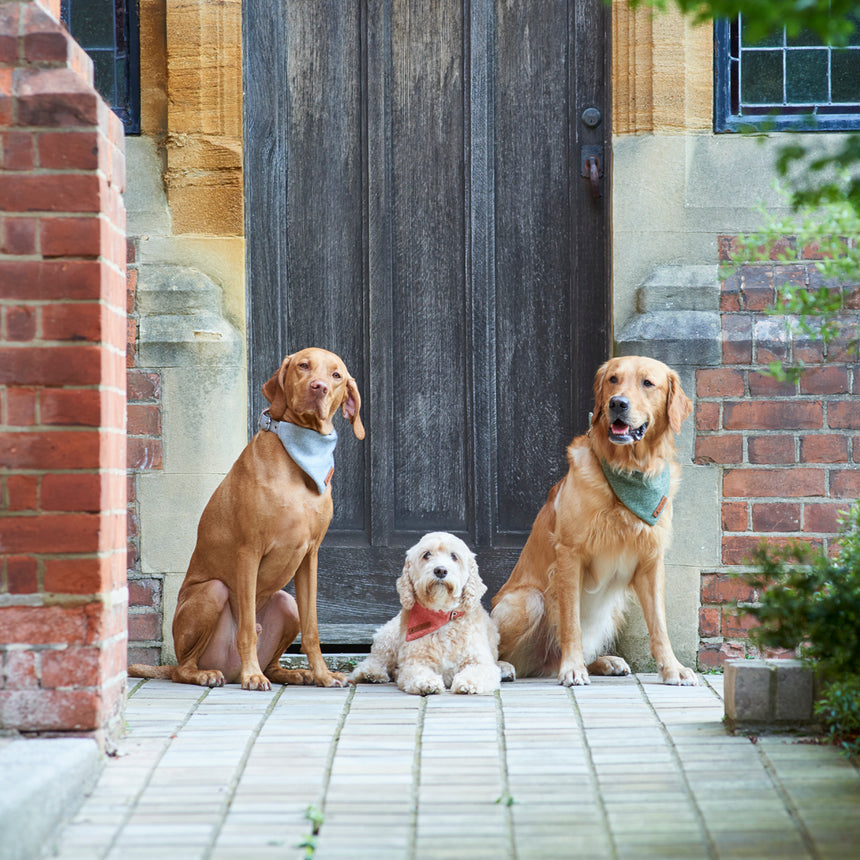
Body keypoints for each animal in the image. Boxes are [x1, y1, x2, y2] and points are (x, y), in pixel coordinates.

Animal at [129, 346, 364, 688]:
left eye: (336, 375)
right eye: (303, 366)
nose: (318, 387)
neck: (300, 456)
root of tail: (228, 669)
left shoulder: (310, 557)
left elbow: (312, 629)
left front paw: (322, 674)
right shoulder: (249, 552)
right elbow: (247, 629)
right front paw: (252, 675)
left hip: (287, 603)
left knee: (275, 660)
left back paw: (295, 673)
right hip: (211, 593)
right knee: (183, 667)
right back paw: (210, 674)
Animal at [352, 536, 510, 696]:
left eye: (454, 556)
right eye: (427, 554)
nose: (440, 570)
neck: (442, 616)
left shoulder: (480, 662)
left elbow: (478, 672)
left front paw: (468, 683)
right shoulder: (414, 662)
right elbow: (418, 672)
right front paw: (427, 682)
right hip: (389, 637)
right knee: (376, 659)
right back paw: (371, 673)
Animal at [488, 354, 696, 684]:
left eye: (647, 383)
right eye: (613, 379)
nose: (617, 403)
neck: (628, 470)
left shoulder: (651, 559)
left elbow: (659, 625)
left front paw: (672, 668)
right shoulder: (569, 555)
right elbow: (570, 622)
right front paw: (572, 669)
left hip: (609, 612)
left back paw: (605, 661)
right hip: (527, 600)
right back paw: (505, 667)